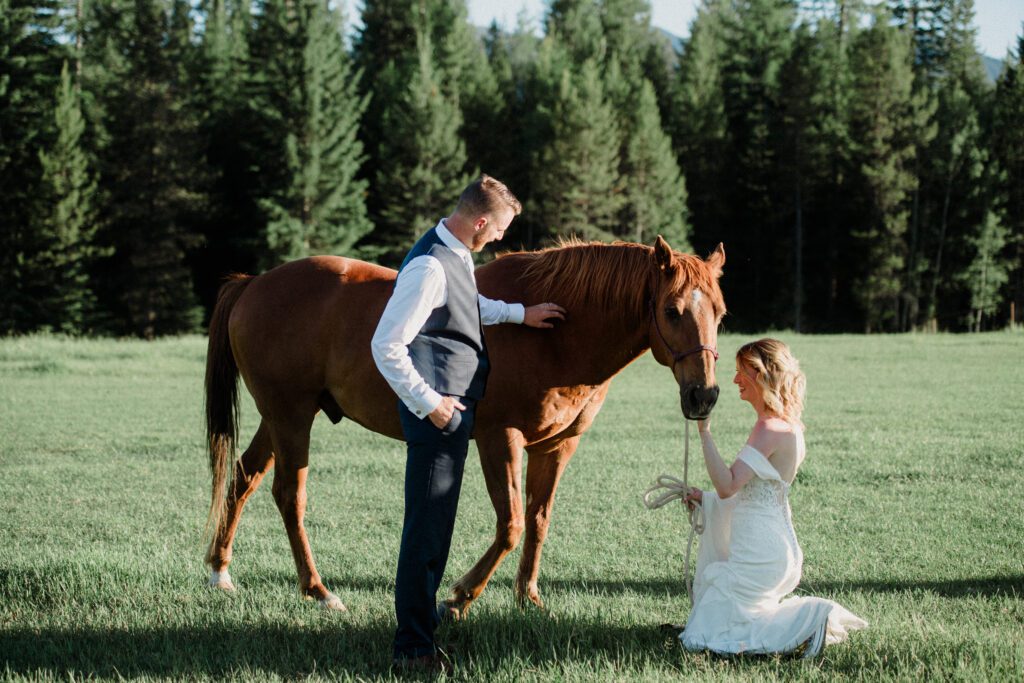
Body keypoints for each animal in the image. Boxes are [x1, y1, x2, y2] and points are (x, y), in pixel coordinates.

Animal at [203, 235, 724, 614]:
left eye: (719, 313)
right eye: (672, 310)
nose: (704, 395)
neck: (556, 336)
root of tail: (254, 283)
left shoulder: (556, 446)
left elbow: (538, 520)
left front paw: (527, 597)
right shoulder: (499, 438)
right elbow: (512, 523)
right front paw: (460, 596)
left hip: (280, 418)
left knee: (244, 479)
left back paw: (220, 571)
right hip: (291, 417)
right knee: (289, 496)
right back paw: (317, 590)